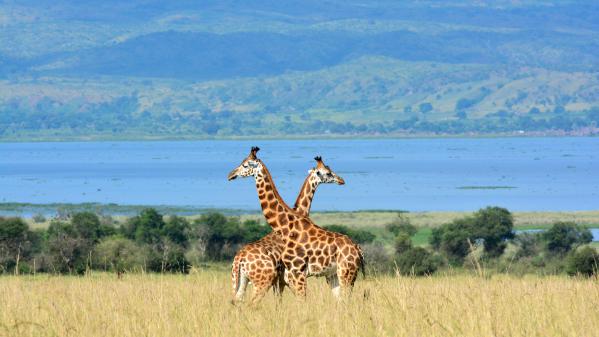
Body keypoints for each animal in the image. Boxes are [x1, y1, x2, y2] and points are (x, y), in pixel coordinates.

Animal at [227, 146, 364, 300]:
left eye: (245, 165)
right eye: (328, 172)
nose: (231, 175)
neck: (287, 225)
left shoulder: (294, 274)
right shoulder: (291, 275)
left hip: (344, 273)